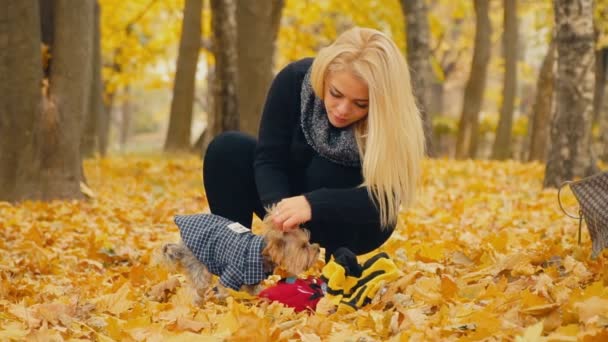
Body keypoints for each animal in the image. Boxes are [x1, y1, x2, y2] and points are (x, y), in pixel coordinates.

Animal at [164, 211, 320, 302]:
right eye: (303, 246)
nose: (318, 248)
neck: (261, 253)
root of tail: (181, 245)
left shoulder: (252, 279)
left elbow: (254, 292)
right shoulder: (232, 273)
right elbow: (226, 291)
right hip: (197, 262)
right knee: (198, 286)